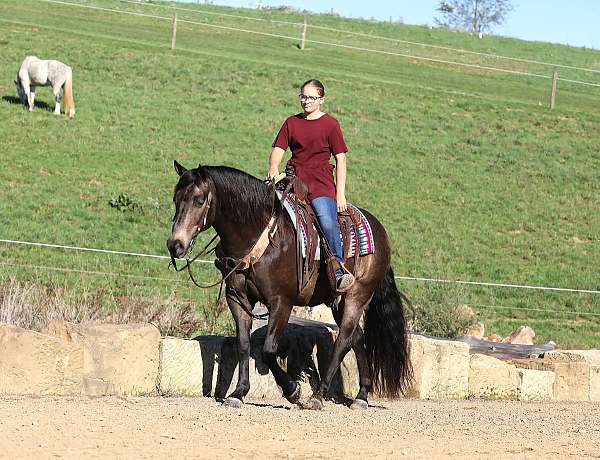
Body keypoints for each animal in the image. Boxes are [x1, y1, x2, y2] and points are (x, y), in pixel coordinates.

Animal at [169, 162, 412, 410]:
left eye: (199, 200)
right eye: (176, 199)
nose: (174, 245)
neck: (260, 235)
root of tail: (378, 228)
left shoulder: (281, 302)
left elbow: (268, 350)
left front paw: (292, 390)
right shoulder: (237, 299)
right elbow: (244, 345)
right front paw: (238, 393)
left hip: (358, 294)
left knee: (343, 341)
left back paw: (318, 396)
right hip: (339, 301)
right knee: (357, 337)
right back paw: (361, 396)